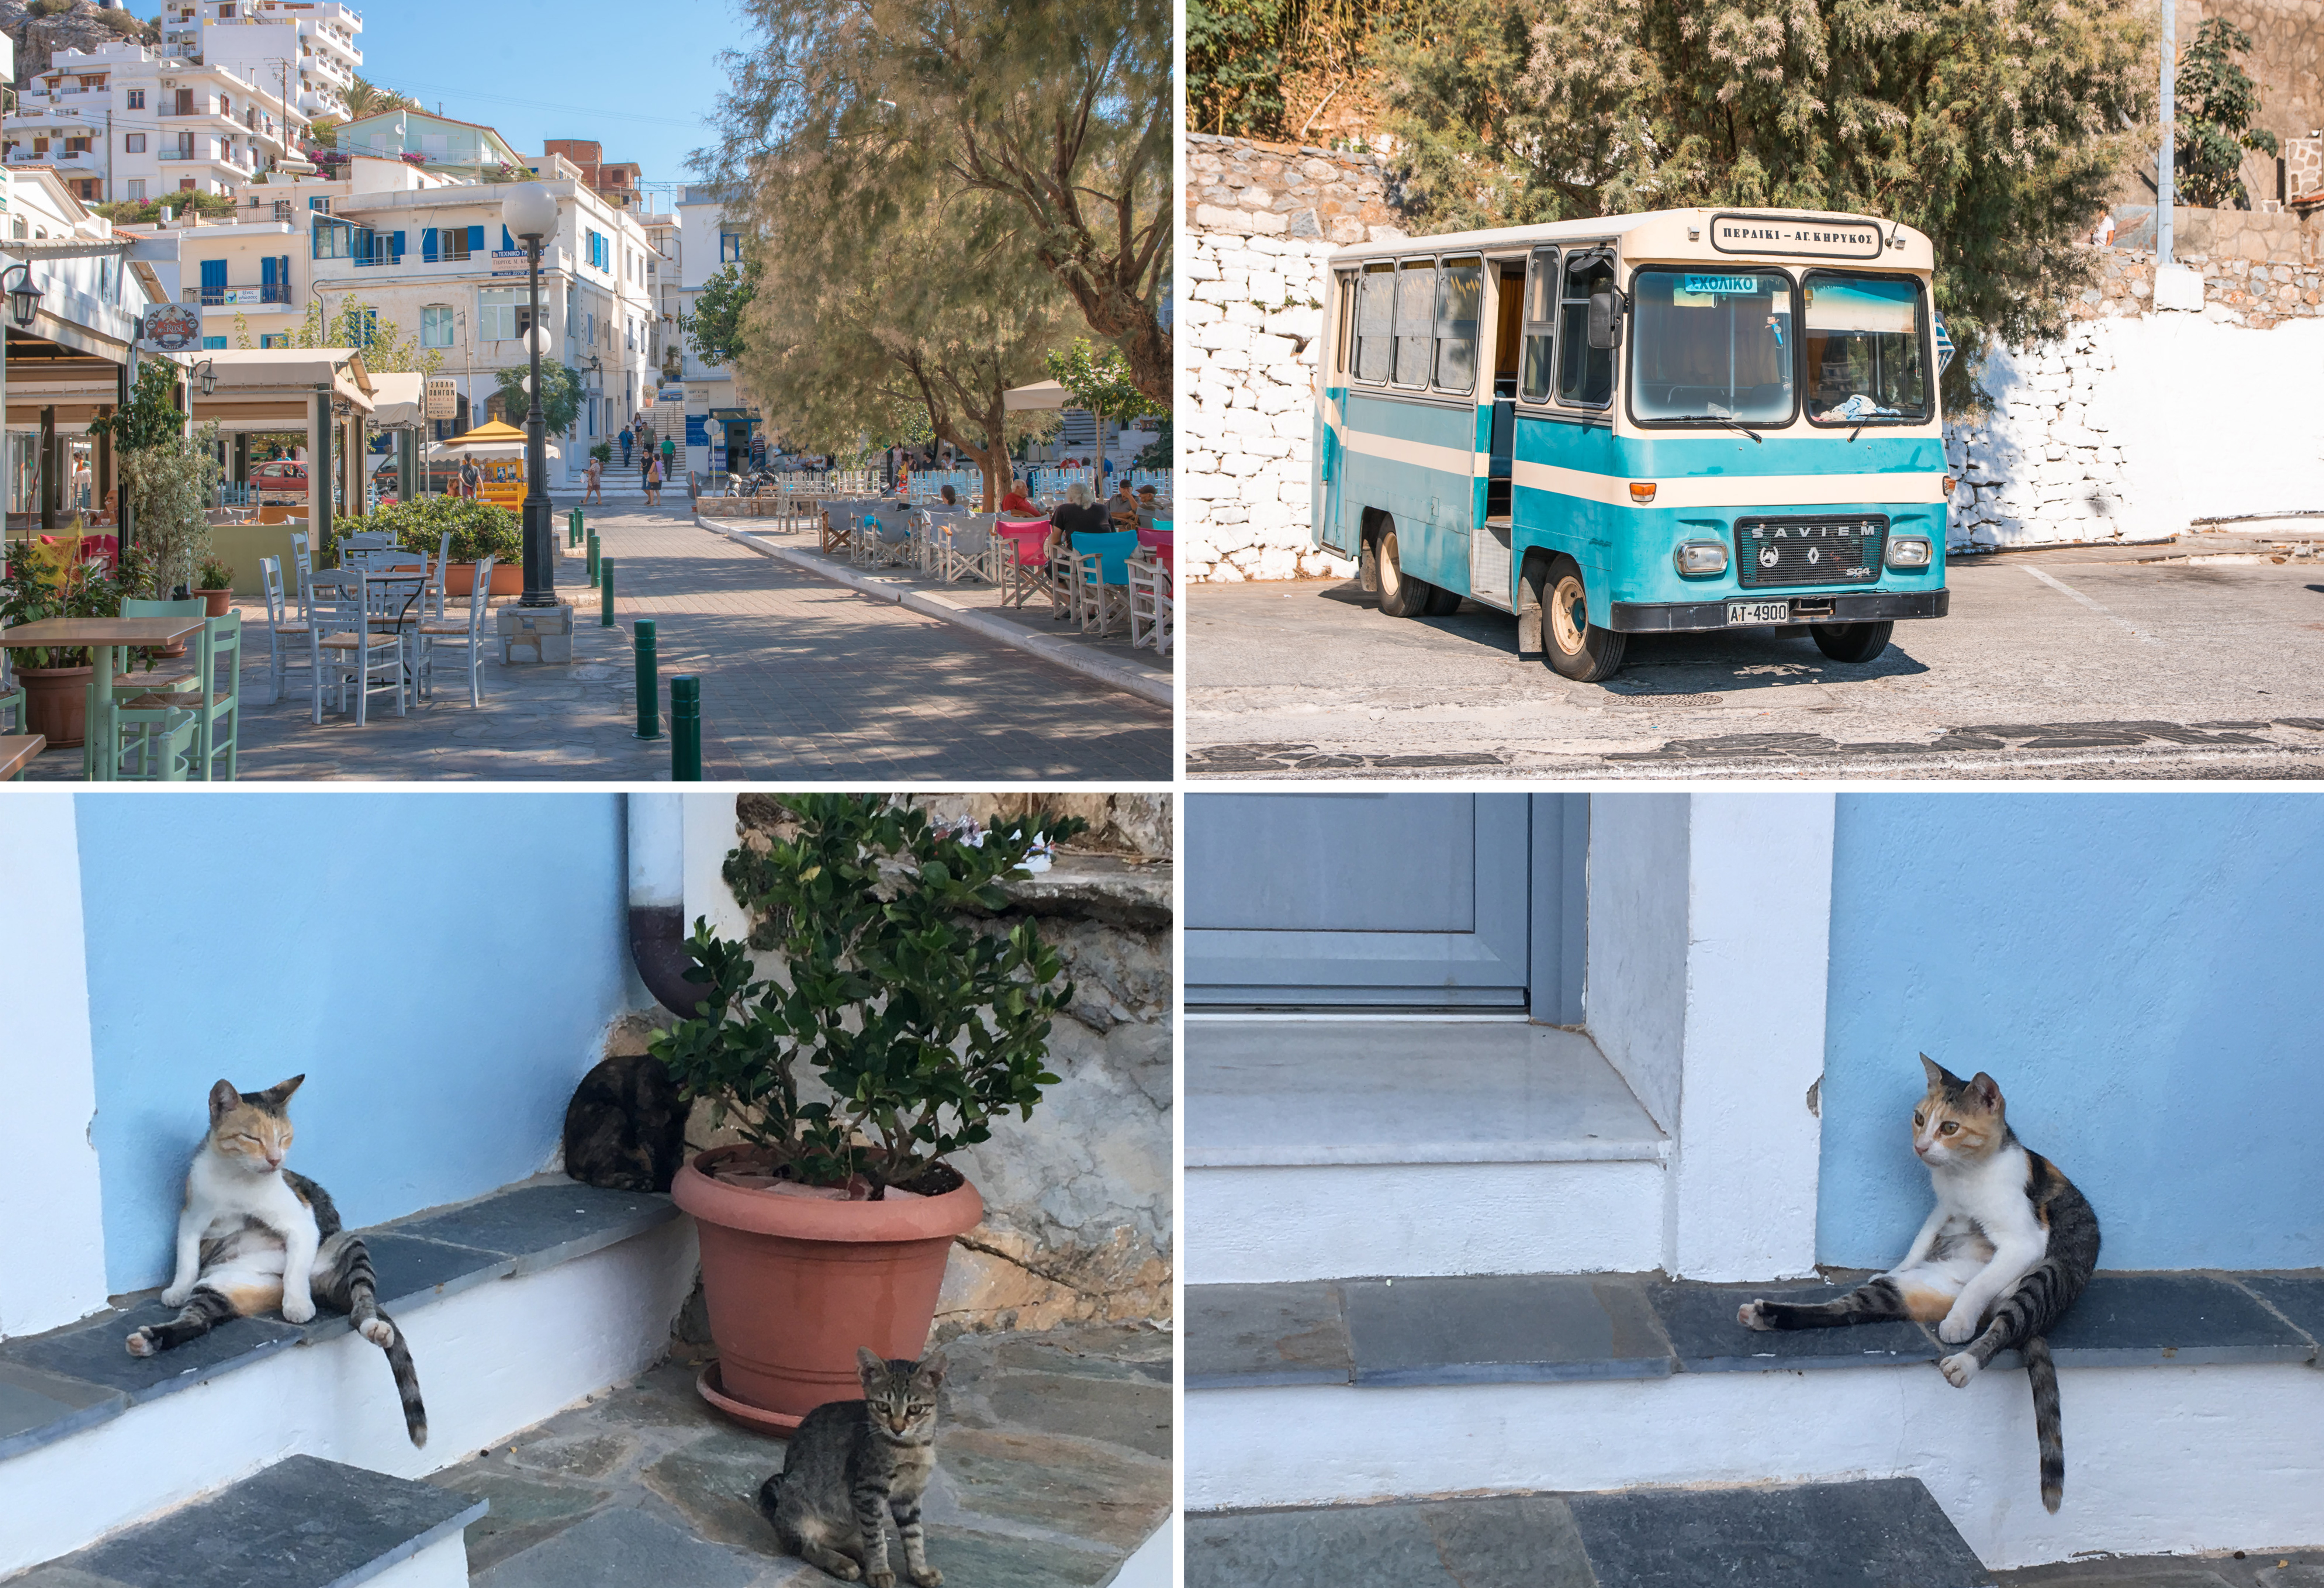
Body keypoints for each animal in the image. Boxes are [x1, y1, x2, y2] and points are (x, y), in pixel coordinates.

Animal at [125, 1078, 430, 1451]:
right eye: (252, 1138)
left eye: (284, 1137)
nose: (275, 1160)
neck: (238, 1182)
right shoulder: (192, 1216)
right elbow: (186, 1256)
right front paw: (176, 1289)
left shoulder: (302, 1221)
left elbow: (296, 1268)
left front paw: (297, 1306)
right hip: (221, 1283)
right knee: (198, 1322)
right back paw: (147, 1341)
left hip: (349, 1244)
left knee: (360, 1303)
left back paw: (374, 1327)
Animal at [564, 1055, 688, 1190]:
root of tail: (569, 1165)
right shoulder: (649, 1126)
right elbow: (656, 1154)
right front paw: (665, 1182)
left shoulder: (677, 1127)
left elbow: (677, 1154)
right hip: (615, 1114)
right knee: (599, 1176)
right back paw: (643, 1183)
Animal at [757, 1348, 948, 1581]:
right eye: (883, 1406)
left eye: (914, 1409)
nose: (897, 1429)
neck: (911, 1447)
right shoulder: (868, 1491)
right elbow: (877, 1539)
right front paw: (880, 1572)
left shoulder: (909, 1496)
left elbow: (914, 1536)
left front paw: (920, 1571)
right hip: (798, 1507)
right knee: (807, 1547)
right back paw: (843, 1563)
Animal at [1738, 1055, 2101, 1516]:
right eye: (1919, 1118)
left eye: (1950, 1127)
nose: (1922, 1146)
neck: (1965, 1179)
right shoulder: (1942, 1208)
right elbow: (1920, 1239)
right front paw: (1896, 1262)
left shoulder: (2025, 1241)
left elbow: (1981, 1283)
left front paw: (1959, 1323)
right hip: (1912, 1287)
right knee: (1848, 1308)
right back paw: (1763, 1313)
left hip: (2046, 1276)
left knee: (2007, 1322)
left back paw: (1963, 1360)